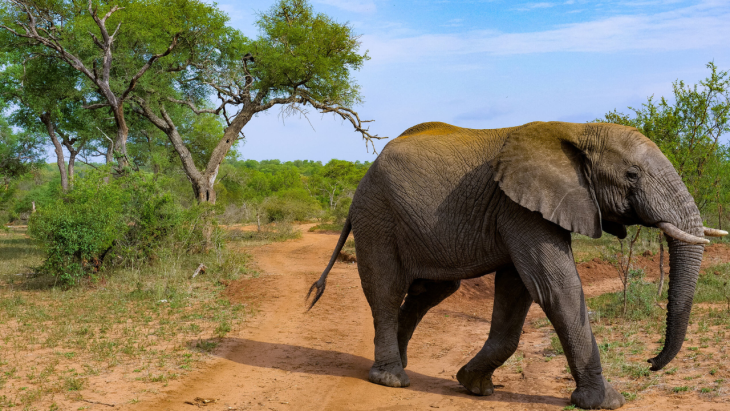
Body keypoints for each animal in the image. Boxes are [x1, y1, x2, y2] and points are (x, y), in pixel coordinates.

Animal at [306, 121, 727, 409]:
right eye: (632, 174)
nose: (652, 362)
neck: (578, 130)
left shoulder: (522, 208)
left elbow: (518, 290)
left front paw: (474, 386)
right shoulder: (519, 208)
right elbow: (555, 287)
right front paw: (605, 402)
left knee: (430, 291)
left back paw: (401, 363)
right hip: (376, 215)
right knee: (387, 290)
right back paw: (391, 379)